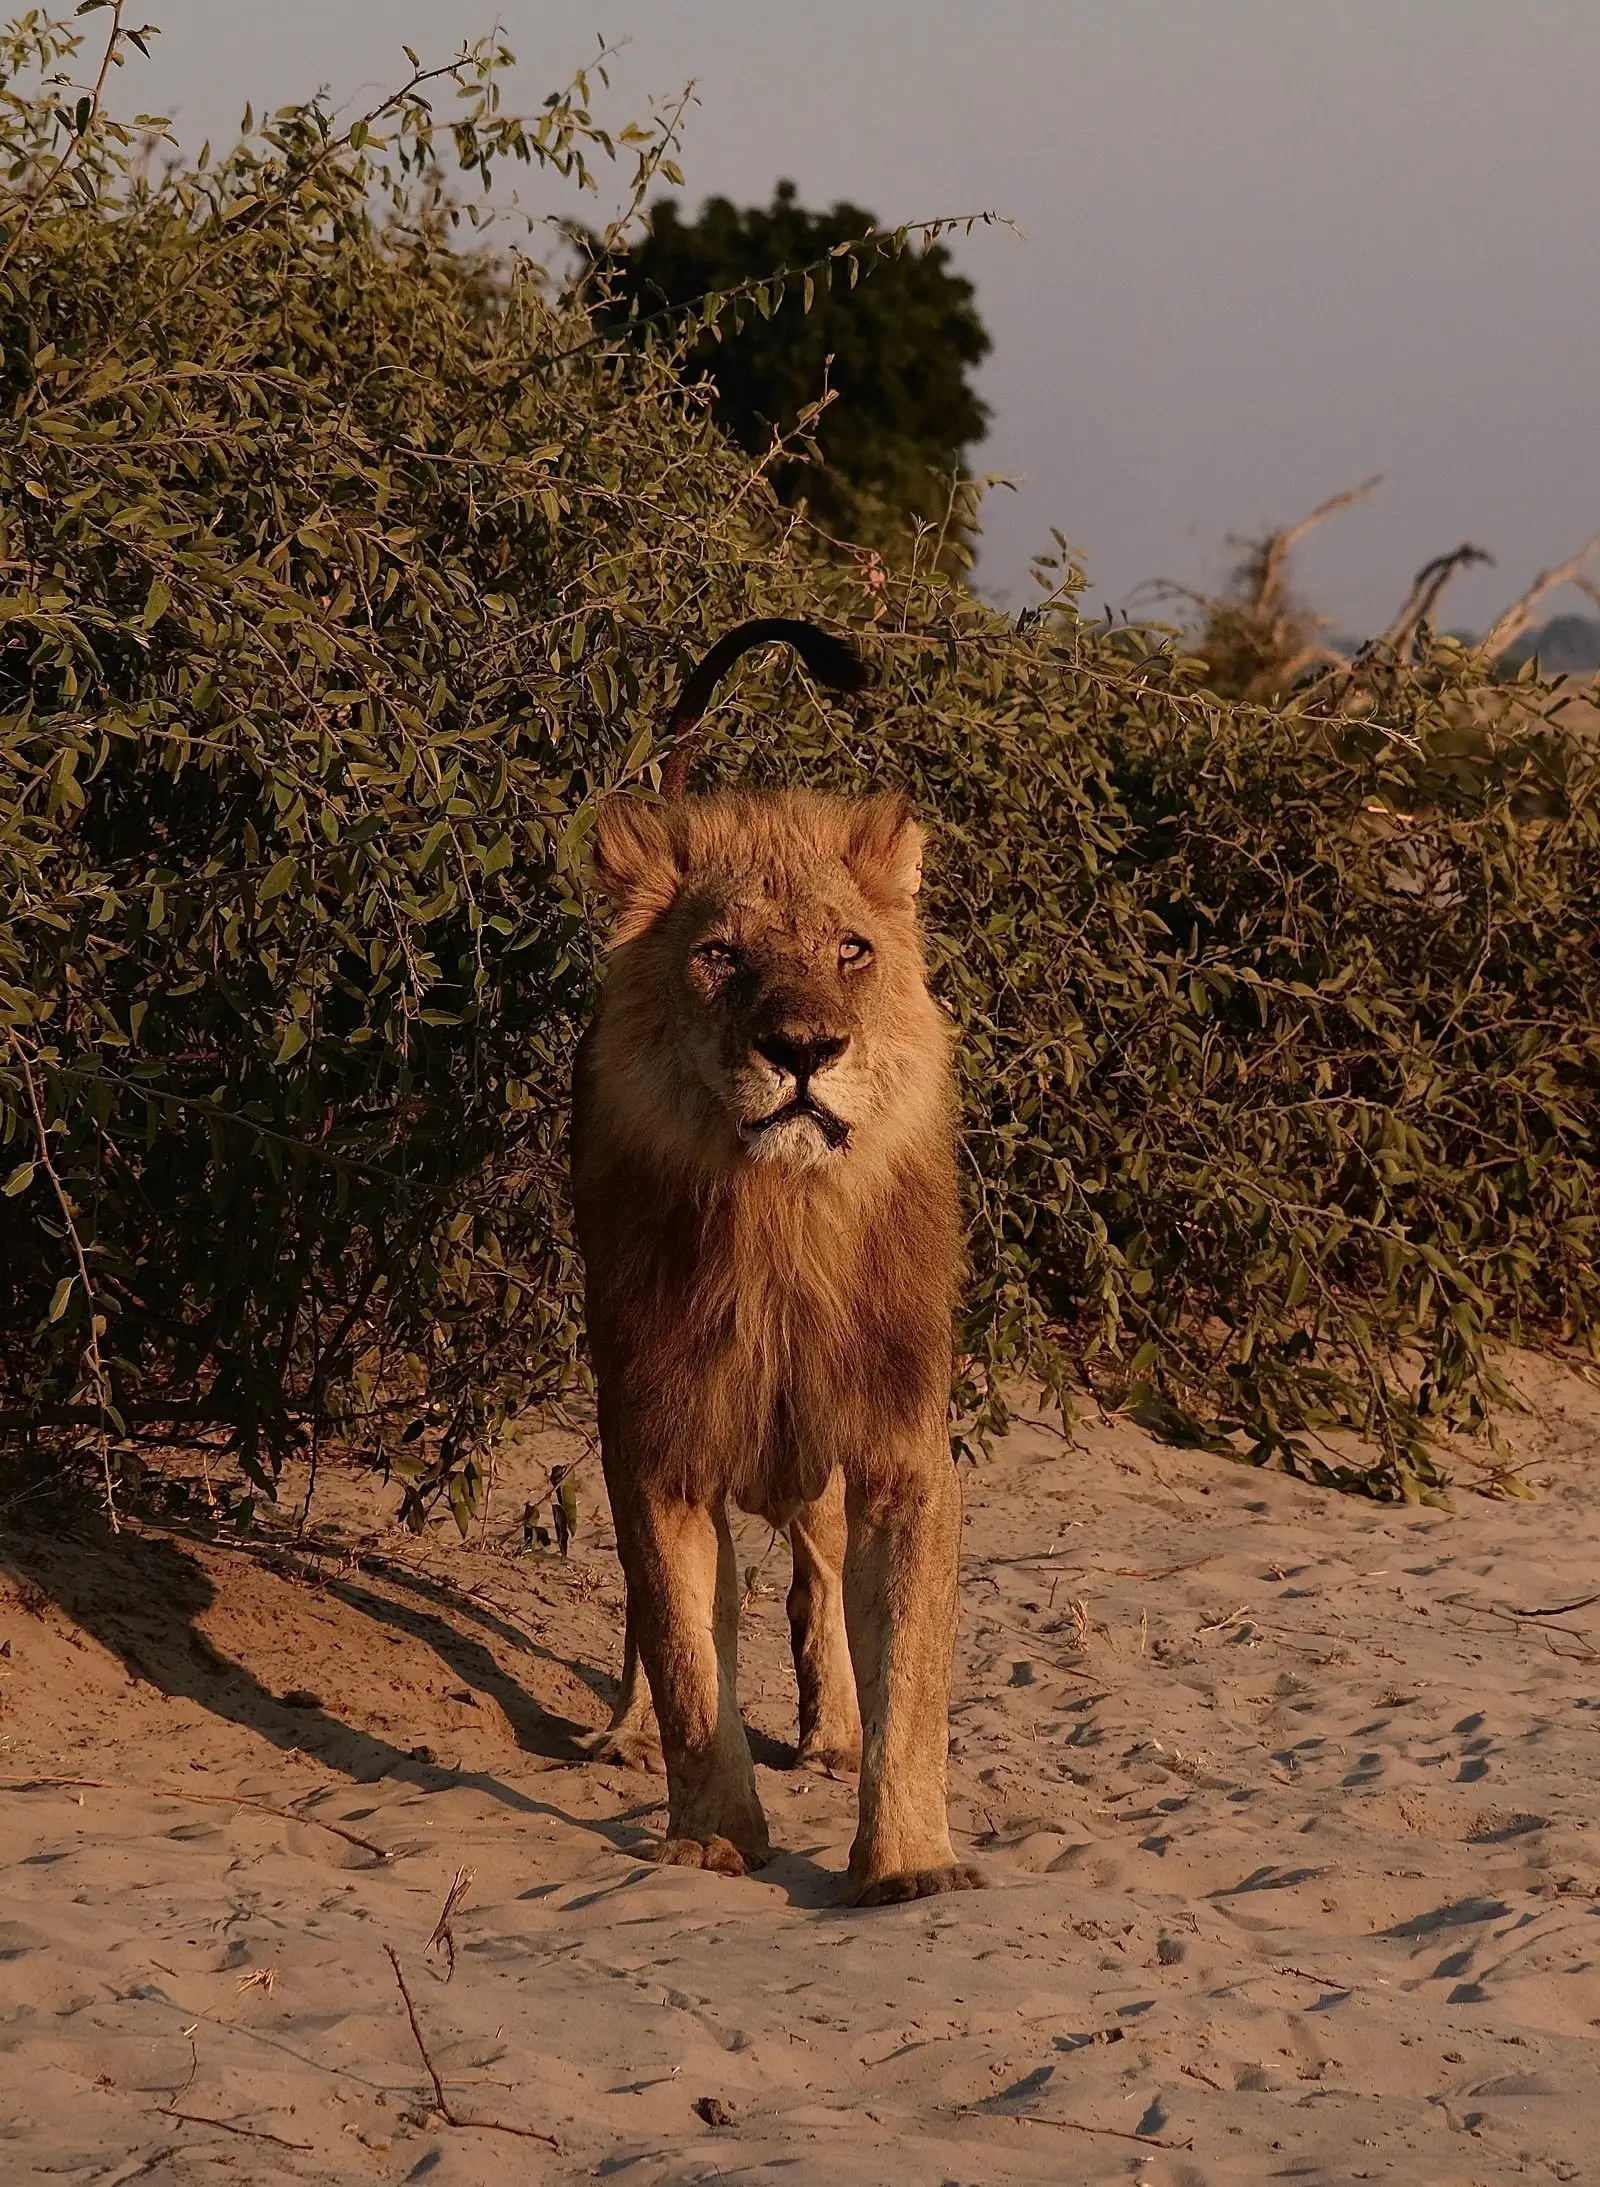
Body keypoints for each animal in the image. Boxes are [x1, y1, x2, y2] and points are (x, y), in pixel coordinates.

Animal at [570, 621, 983, 1906]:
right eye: (717, 955)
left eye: (852, 950)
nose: (804, 1050)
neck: (783, 1227)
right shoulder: (655, 1442)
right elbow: (684, 1646)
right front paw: (712, 1837)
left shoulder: (900, 1448)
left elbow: (914, 1680)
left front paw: (907, 1862)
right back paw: (620, 1731)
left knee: (813, 1564)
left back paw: (830, 1728)